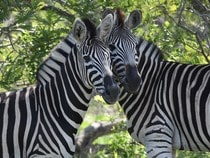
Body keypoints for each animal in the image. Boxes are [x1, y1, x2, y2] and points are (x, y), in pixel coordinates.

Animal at [101, 8, 210, 158]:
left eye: (135, 46)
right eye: (111, 47)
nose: (135, 82)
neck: (150, 86)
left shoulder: (157, 137)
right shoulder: (168, 143)